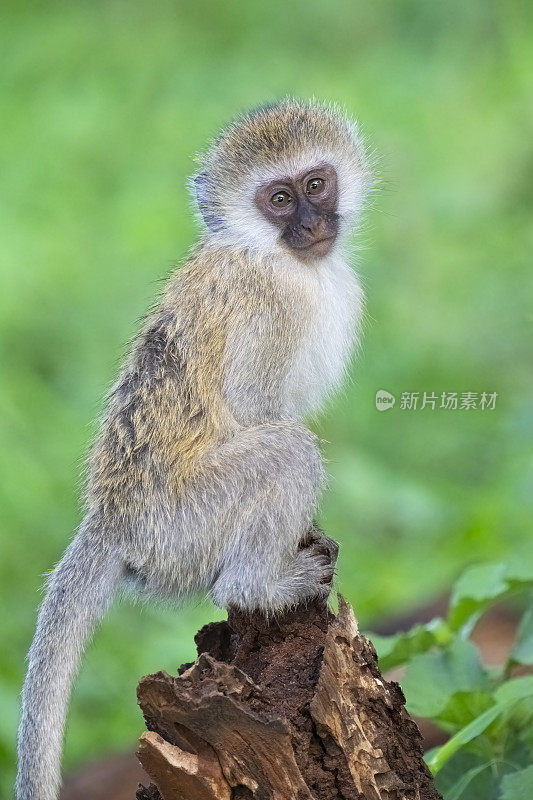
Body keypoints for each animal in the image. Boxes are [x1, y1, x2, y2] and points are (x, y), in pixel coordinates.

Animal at [15, 100, 366, 800]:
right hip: (184, 524)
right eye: (279, 199)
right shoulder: (271, 310)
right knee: (287, 453)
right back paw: (260, 584)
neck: (274, 256)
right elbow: (258, 410)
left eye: (316, 184)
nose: (311, 223)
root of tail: (112, 520)